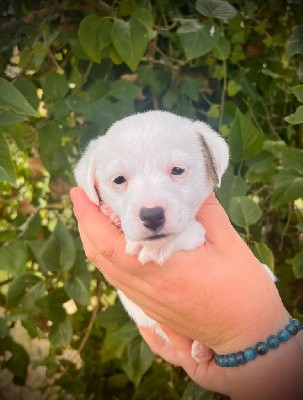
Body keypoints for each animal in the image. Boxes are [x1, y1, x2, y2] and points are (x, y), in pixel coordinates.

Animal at [75, 110, 229, 362]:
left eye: (177, 170)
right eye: (119, 179)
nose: (152, 215)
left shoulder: (198, 234)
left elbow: (185, 233)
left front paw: (154, 247)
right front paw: (110, 214)